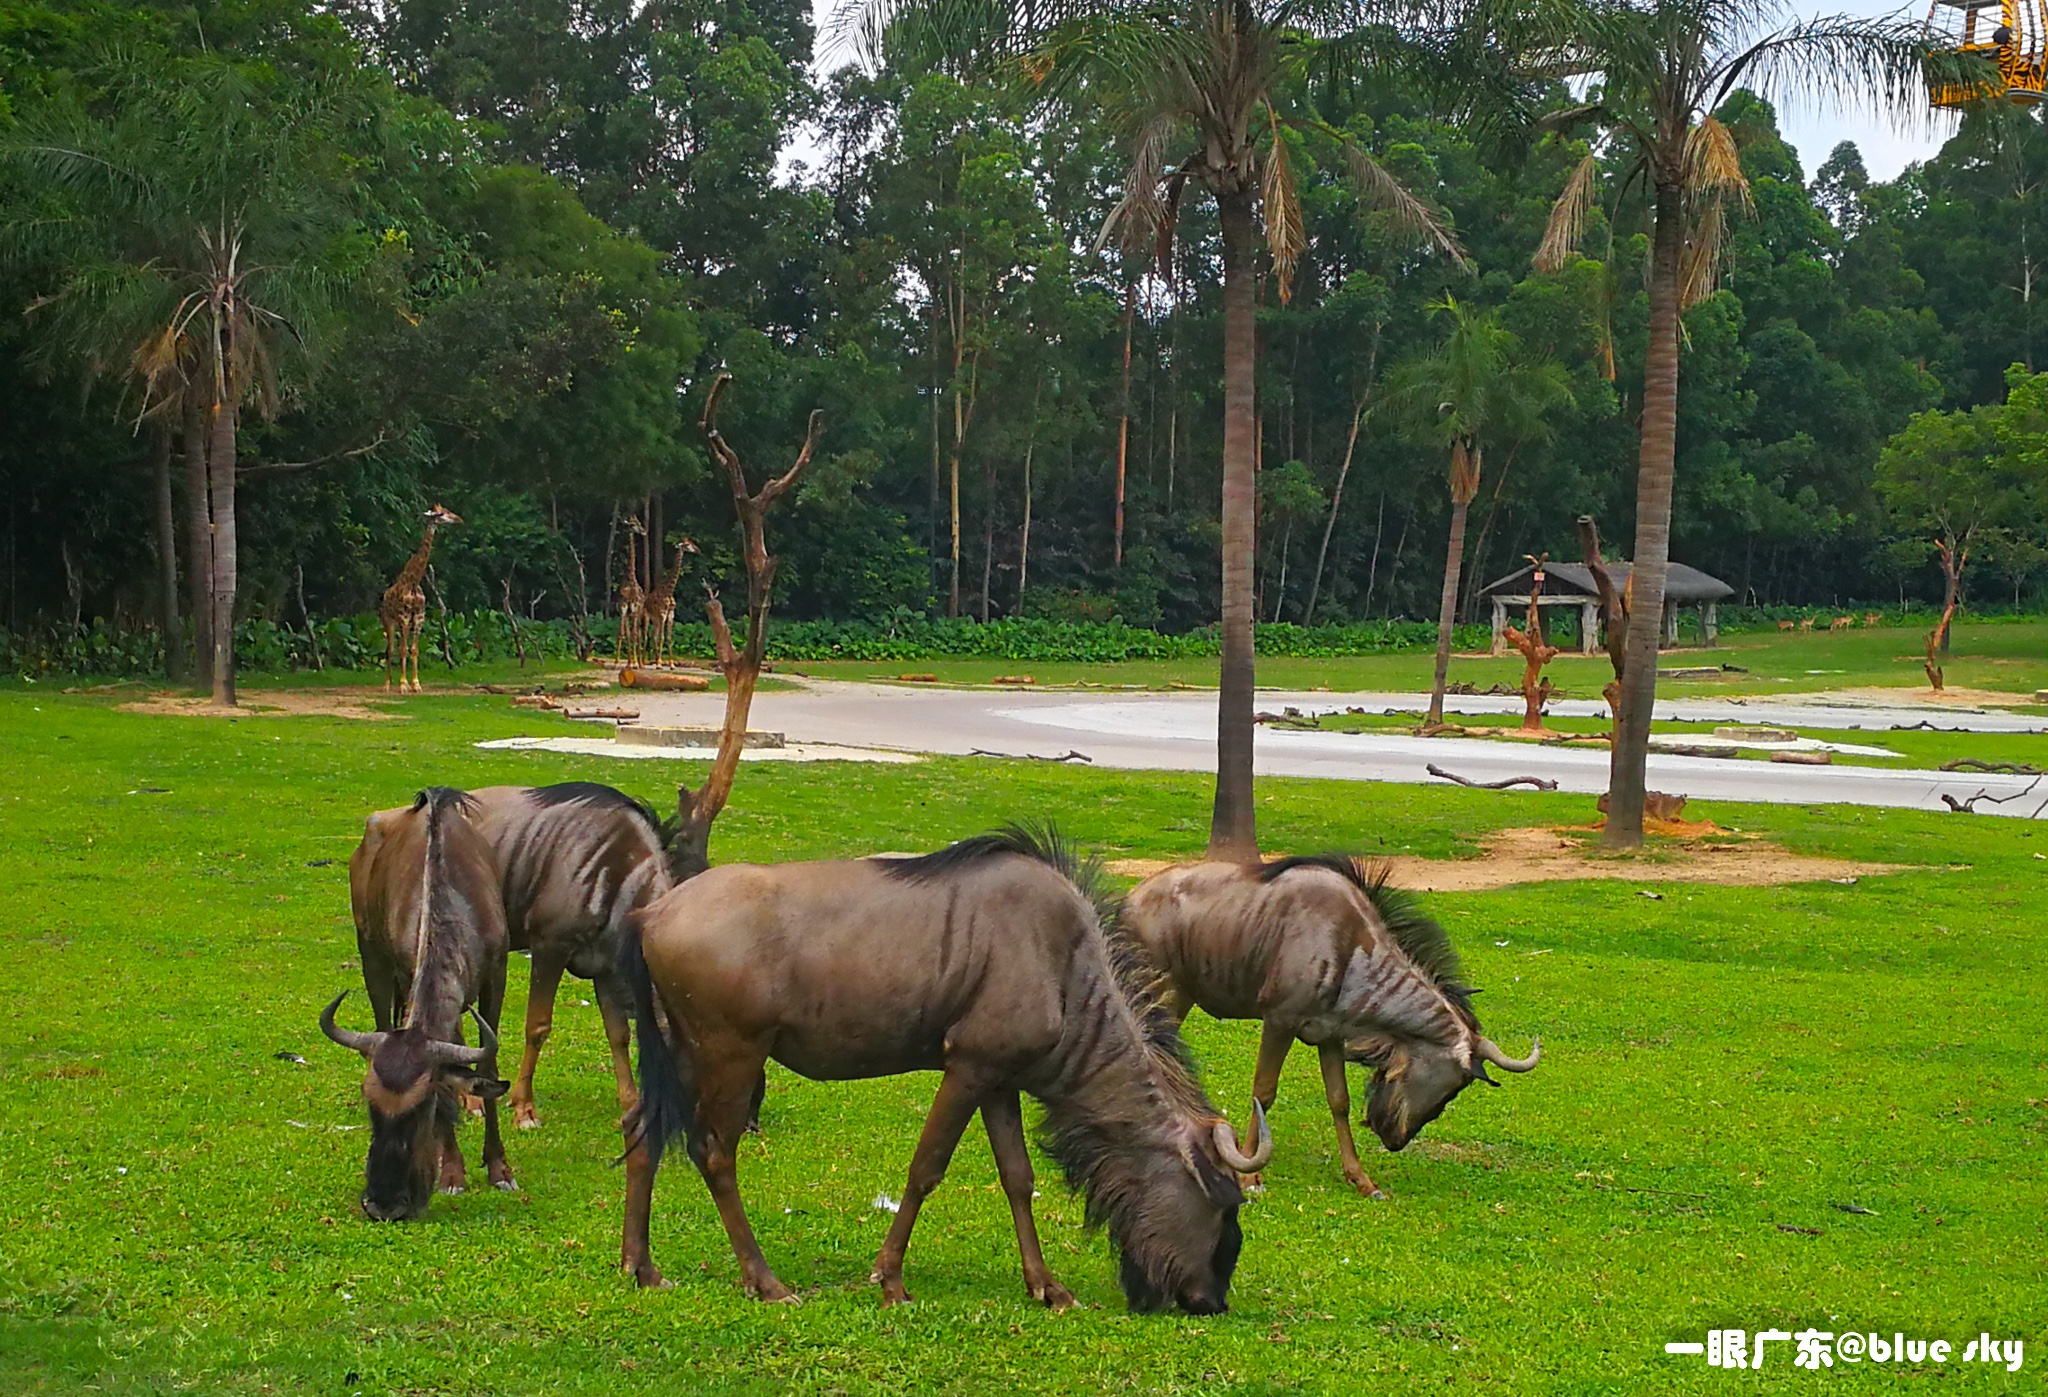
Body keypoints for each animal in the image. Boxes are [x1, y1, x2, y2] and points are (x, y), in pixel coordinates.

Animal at [380, 503, 464, 692]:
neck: (414, 580)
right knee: (390, 649)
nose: (459, 519)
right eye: (442, 513)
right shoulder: (404, 618)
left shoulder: (418, 618)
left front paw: (416, 684)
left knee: (396, 648)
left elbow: (414, 649)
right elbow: (403, 649)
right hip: (389, 621)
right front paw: (403, 685)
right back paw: (387, 684)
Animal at [643, 532, 700, 663]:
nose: (698, 550)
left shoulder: (670, 614)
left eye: (691, 542)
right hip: (648, 616)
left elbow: (668, 638)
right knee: (646, 636)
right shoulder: (662, 614)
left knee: (653, 636)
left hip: (655, 619)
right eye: (687, 545)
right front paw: (660, 663)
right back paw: (644, 661)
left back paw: (655, 659)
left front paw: (671, 663)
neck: (669, 590)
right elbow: (662, 637)